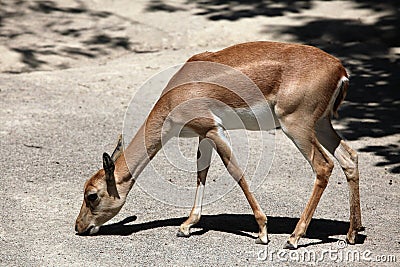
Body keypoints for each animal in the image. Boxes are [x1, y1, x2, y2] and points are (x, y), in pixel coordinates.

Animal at [74, 41, 362, 249]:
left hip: (297, 126)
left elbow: (236, 173)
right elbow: (201, 174)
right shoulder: (203, 135)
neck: (178, 92)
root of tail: (340, 70)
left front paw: (262, 231)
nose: (79, 227)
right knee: (349, 158)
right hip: (322, 125)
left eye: (92, 195)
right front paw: (186, 225)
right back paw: (351, 233)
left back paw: (294, 238)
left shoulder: (215, 130)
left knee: (323, 166)